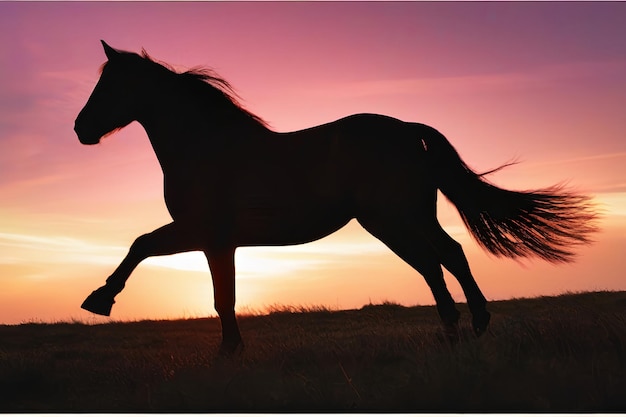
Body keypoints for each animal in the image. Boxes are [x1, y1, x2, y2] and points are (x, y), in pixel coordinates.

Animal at [73, 40, 596, 352]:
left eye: (110, 83)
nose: (80, 129)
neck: (206, 146)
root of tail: (408, 129)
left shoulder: (203, 233)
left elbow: (148, 249)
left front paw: (100, 300)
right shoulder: (214, 240)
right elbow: (220, 293)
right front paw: (231, 350)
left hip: (395, 219)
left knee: (440, 259)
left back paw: (467, 326)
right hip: (400, 219)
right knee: (441, 259)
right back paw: (460, 329)